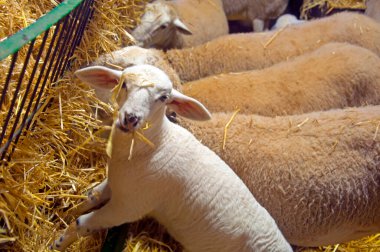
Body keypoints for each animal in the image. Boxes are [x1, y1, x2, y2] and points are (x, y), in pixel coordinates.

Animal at [48, 64, 290, 252]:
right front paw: (63, 210)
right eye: (124, 84)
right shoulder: (119, 184)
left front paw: (56, 243)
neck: (155, 144)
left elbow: (81, 223)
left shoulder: (129, 207)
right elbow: (90, 196)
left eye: (163, 98)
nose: (130, 118)